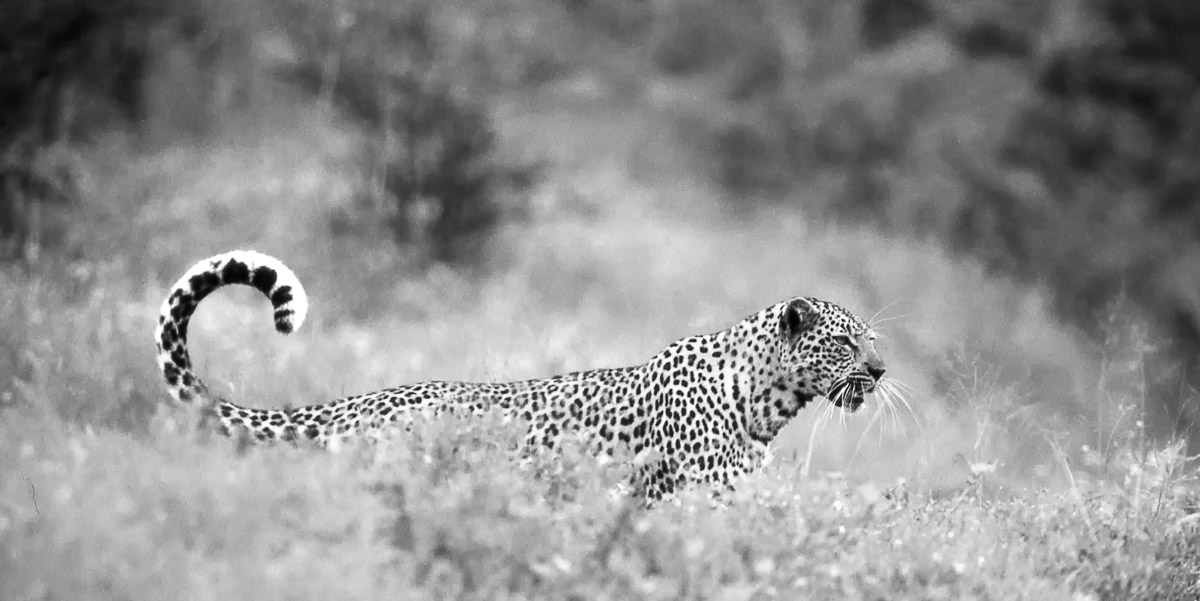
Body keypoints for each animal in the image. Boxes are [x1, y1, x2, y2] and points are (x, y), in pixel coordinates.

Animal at [156, 250, 888, 498]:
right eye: (845, 342)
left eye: (872, 341)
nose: (881, 369)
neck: (763, 401)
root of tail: (352, 404)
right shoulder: (699, 497)